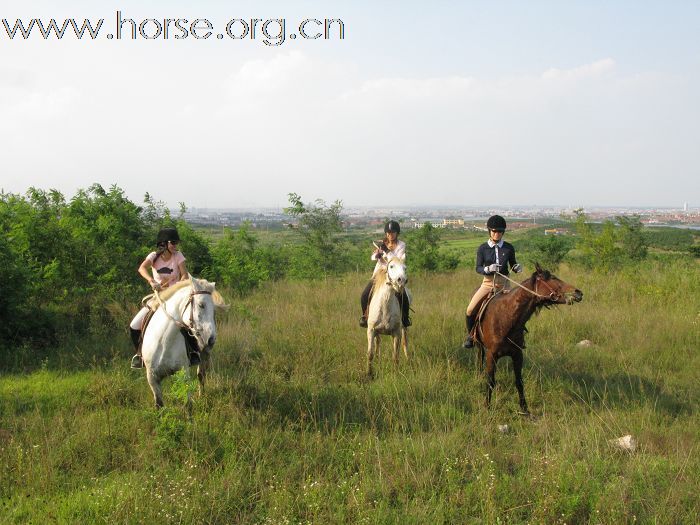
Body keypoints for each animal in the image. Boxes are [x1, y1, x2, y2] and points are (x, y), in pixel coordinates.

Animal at [141, 276, 228, 408]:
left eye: (214, 310)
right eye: (201, 305)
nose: (211, 339)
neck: (164, 342)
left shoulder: (184, 375)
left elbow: (188, 405)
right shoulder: (152, 379)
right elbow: (159, 405)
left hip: (203, 355)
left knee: (201, 375)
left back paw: (202, 396)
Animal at [474, 264, 584, 412]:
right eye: (553, 278)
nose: (578, 293)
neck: (506, 318)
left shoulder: (517, 354)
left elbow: (519, 382)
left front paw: (524, 409)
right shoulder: (492, 355)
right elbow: (490, 381)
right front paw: (487, 406)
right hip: (479, 344)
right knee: (480, 356)